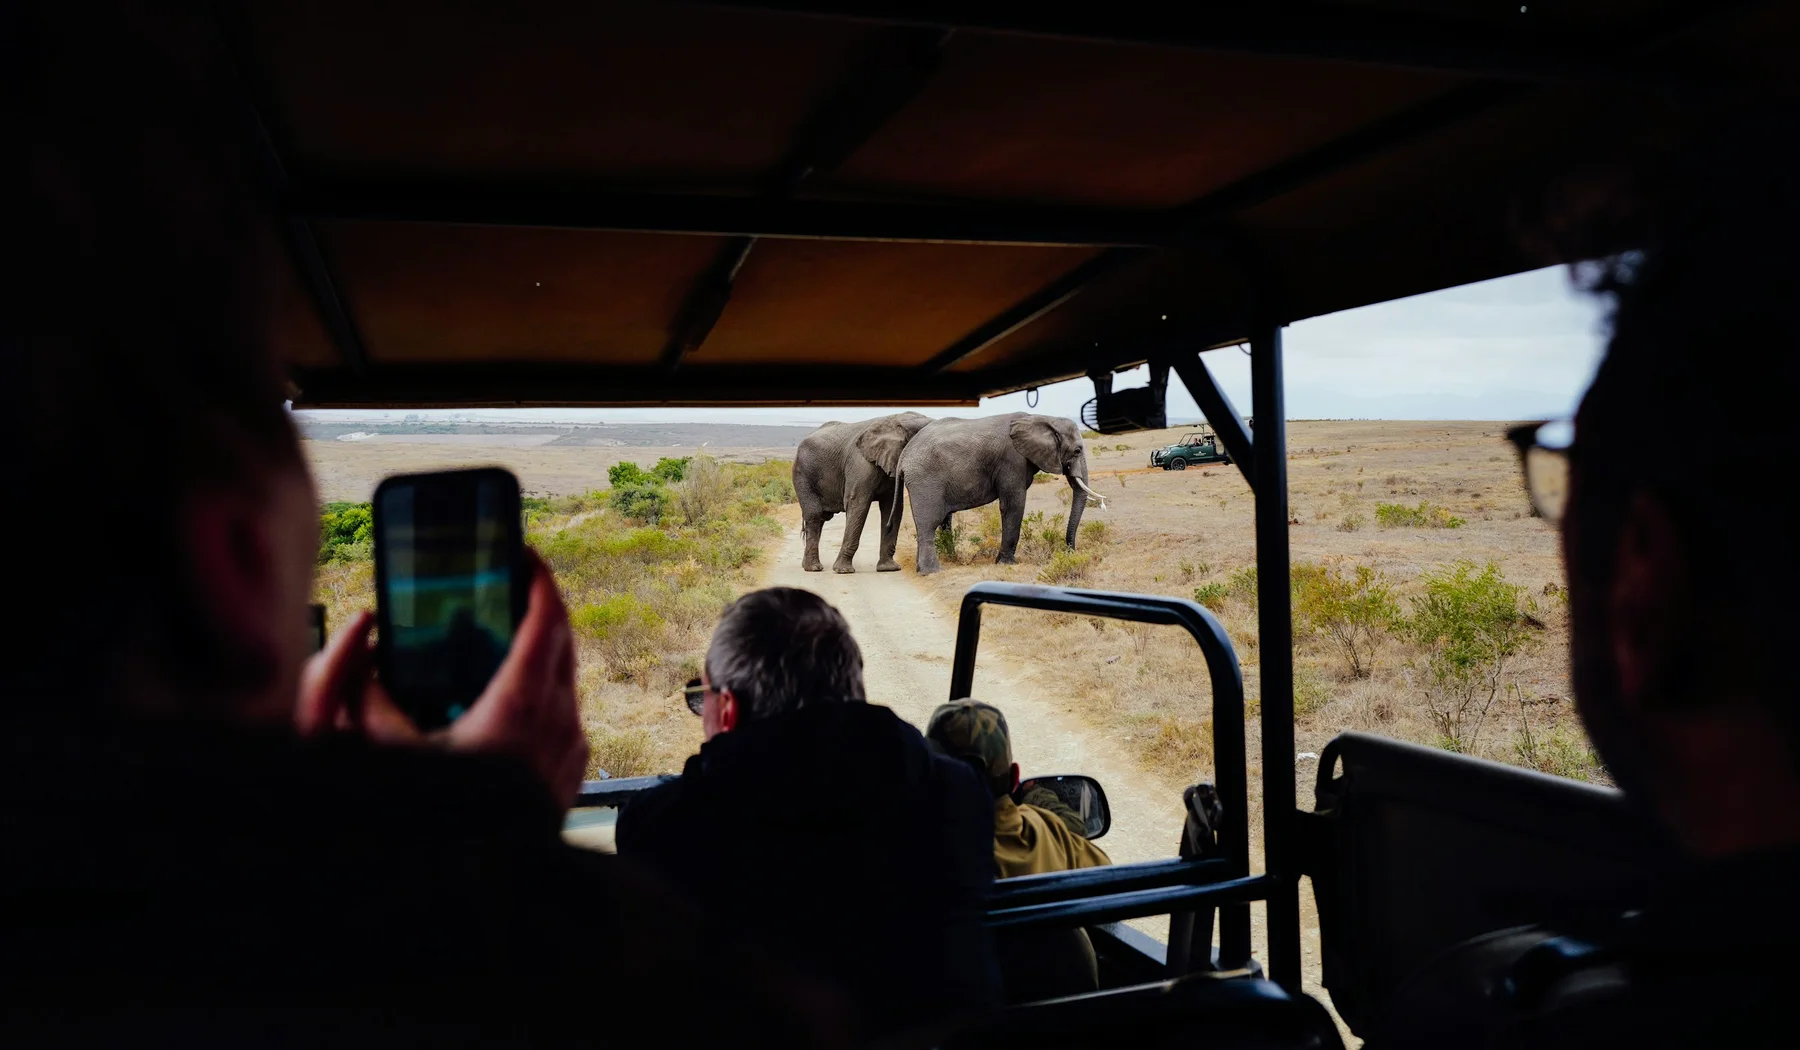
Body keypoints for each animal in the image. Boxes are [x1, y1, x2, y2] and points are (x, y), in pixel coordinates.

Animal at [792, 411, 932, 573]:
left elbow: (892, 507)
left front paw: (888, 568)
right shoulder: (861, 463)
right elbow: (858, 504)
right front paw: (843, 571)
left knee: (821, 518)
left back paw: (807, 565)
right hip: (802, 474)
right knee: (814, 515)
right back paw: (813, 568)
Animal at [893, 412, 1108, 575]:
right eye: (1077, 451)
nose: (1070, 551)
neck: (1042, 418)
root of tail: (904, 456)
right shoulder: (1012, 461)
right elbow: (1013, 504)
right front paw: (1007, 563)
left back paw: (922, 569)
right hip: (926, 480)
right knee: (930, 523)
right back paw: (932, 571)